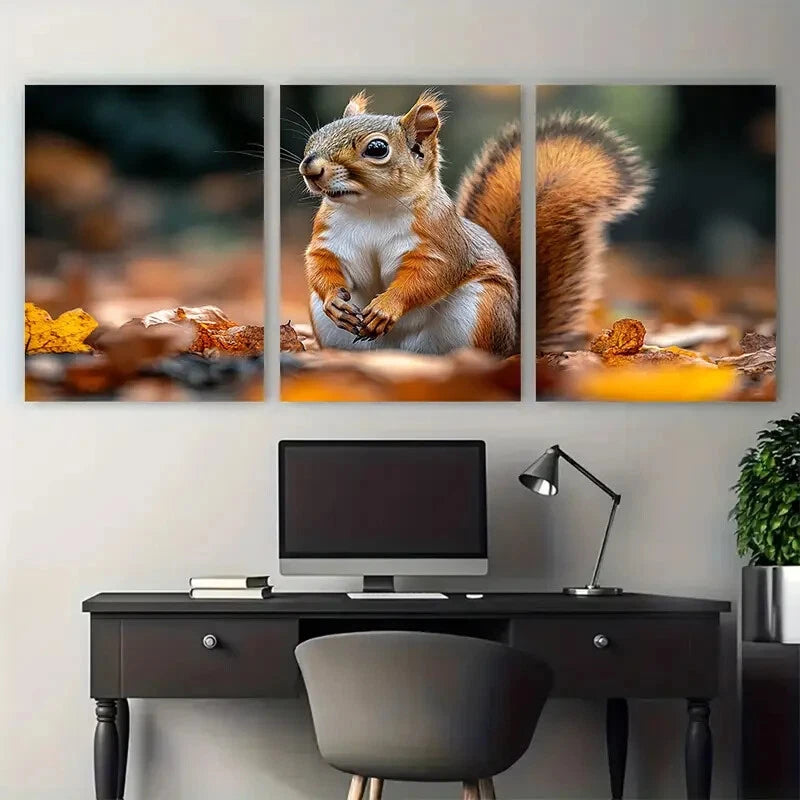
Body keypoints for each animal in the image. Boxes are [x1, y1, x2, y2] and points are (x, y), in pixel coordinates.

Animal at [298, 91, 649, 355]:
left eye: (376, 148)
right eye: (315, 136)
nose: (310, 168)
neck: (370, 209)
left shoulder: (441, 241)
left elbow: (428, 276)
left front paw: (387, 306)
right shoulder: (329, 238)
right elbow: (320, 263)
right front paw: (334, 300)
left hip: (483, 309)